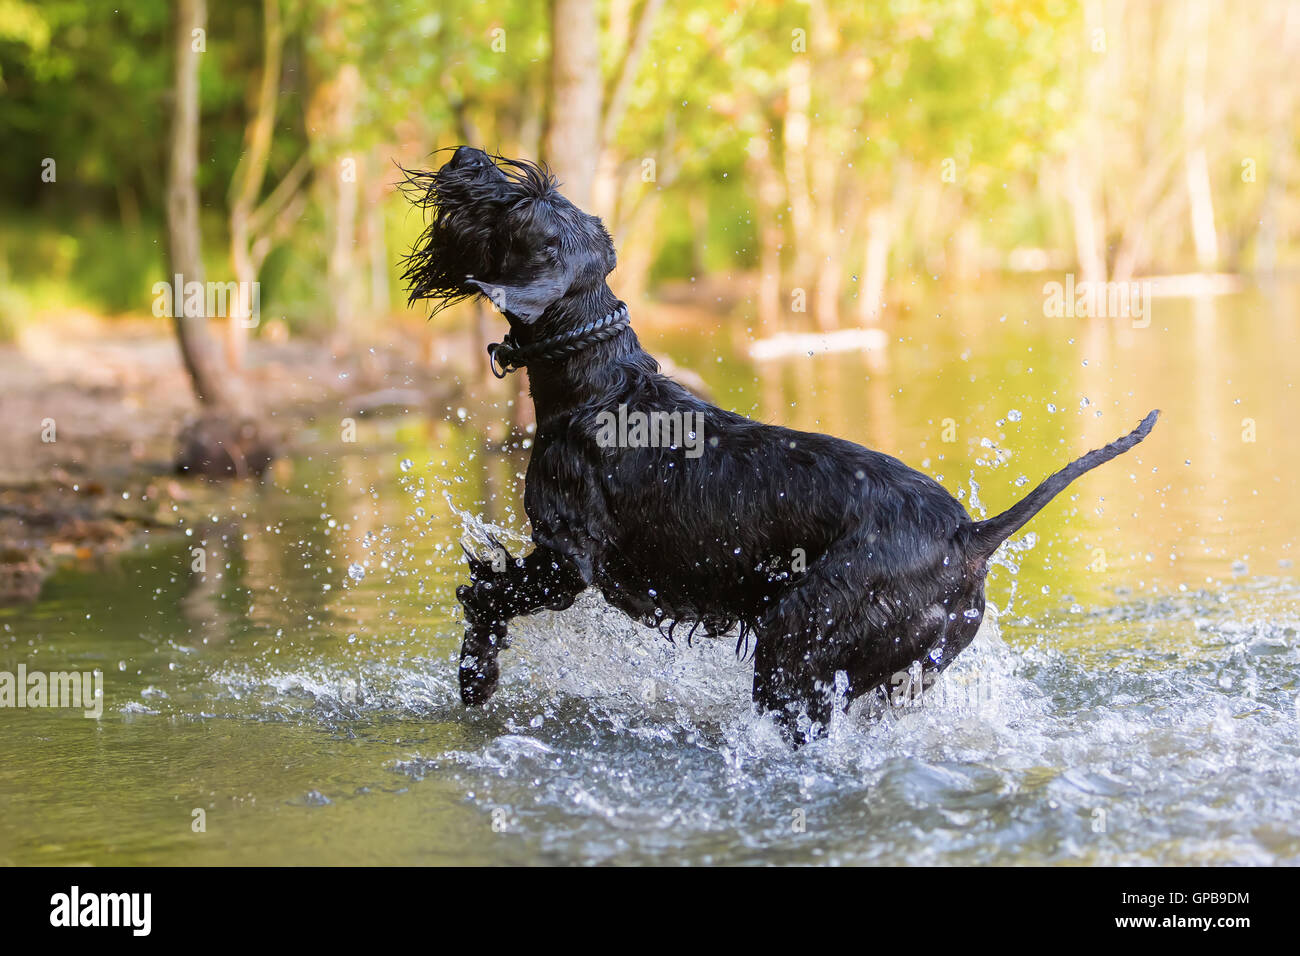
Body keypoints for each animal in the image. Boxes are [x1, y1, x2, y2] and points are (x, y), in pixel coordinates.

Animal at [397, 147, 1159, 749]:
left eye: (516, 202)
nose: (466, 153)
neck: (594, 382)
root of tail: (971, 535)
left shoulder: (566, 561)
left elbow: (487, 596)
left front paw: (476, 676)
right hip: (895, 667)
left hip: (797, 646)